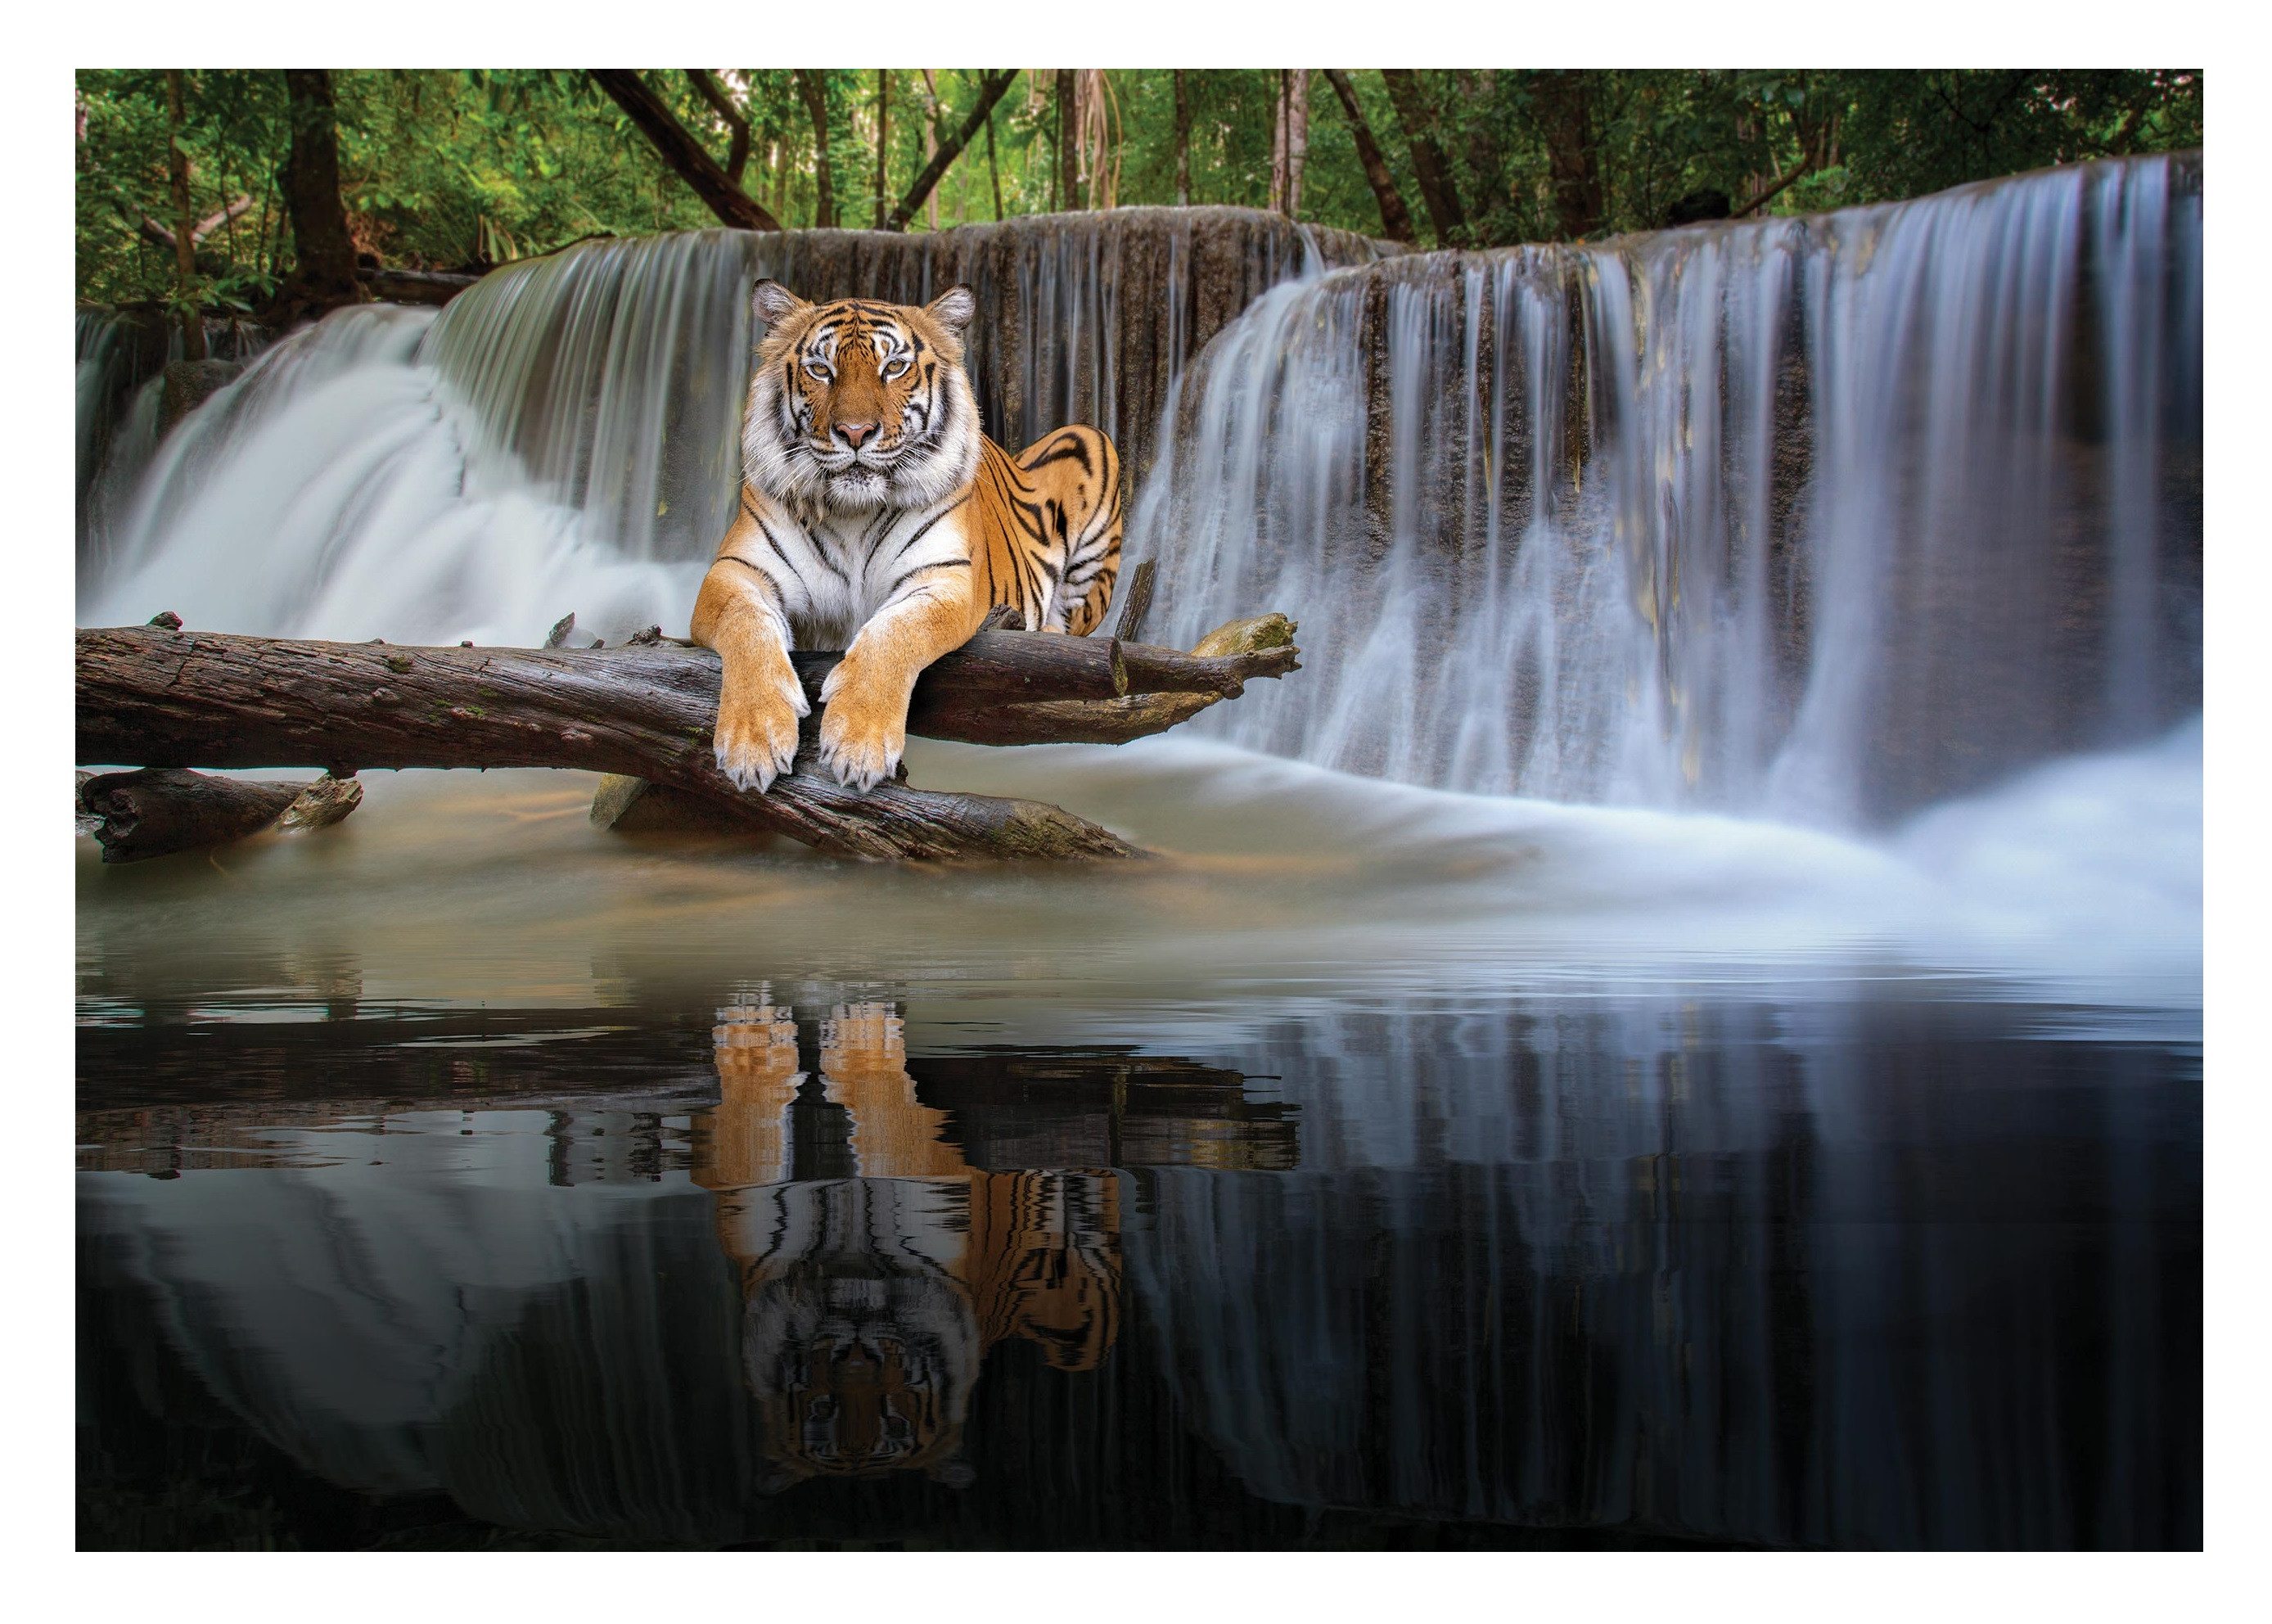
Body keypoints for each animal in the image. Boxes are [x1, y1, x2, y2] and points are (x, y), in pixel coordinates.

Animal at [691, 280, 1123, 795]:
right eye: (821, 369)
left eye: (894, 367)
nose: (855, 432)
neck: (852, 513)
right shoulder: (735, 574)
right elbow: (747, 628)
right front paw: (753, 738)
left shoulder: (943, 580)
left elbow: (894, 631)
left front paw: (859, 741)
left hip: (1090, 442)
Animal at [695, 1000, 1121, 1490]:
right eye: (822, 1408)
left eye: (895, 1420)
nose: (855, 1367)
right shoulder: (743, 1194)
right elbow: (749, 1137)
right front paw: (751, 1037)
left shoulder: (934, 1172)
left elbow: (887, 1127)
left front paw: (863, 1034)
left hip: (1082, 1333)